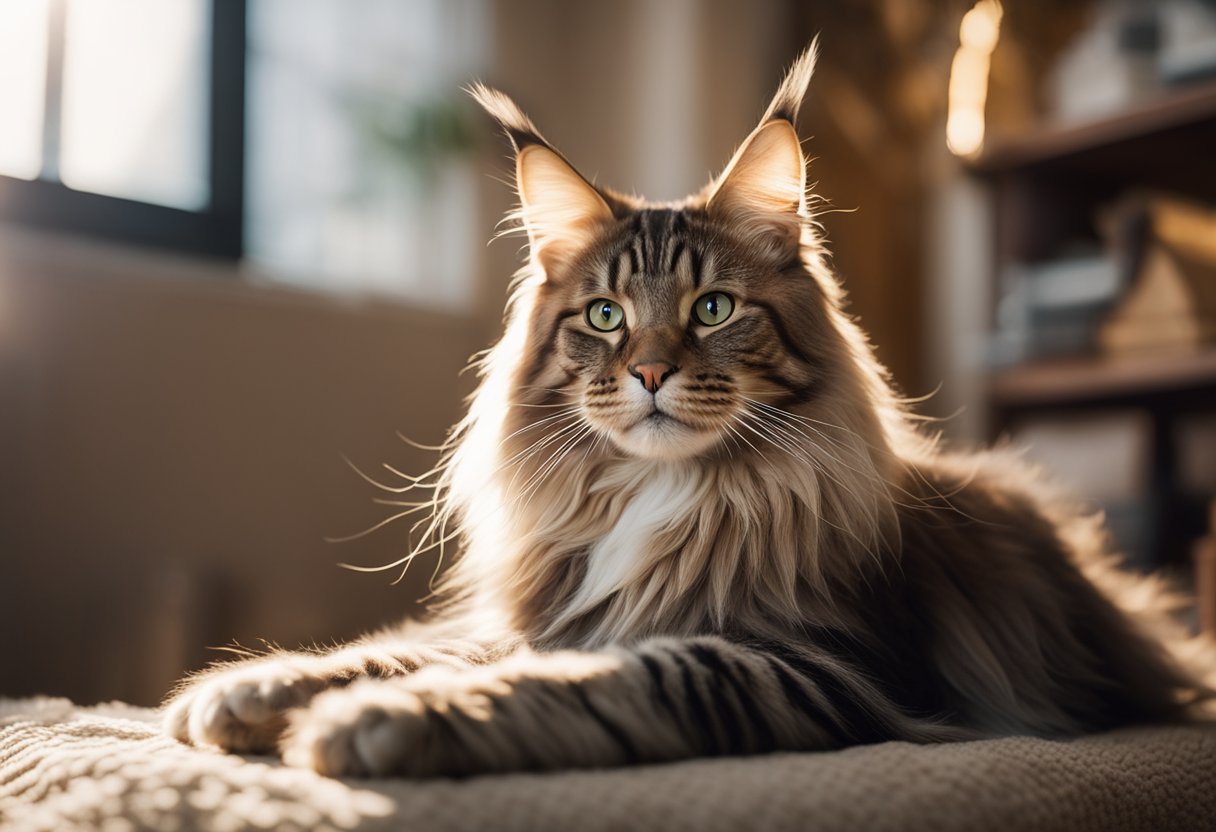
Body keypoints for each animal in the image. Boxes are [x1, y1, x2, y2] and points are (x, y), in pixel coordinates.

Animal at [166, 43, 1211, 773]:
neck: (659, 496)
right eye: (604, 315)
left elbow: (606, 678)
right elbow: (410, 647)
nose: (651, 373)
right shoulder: (555, 613)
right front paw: (253, 690)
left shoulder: (820, 662)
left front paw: (376, 725)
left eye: (713, 309)